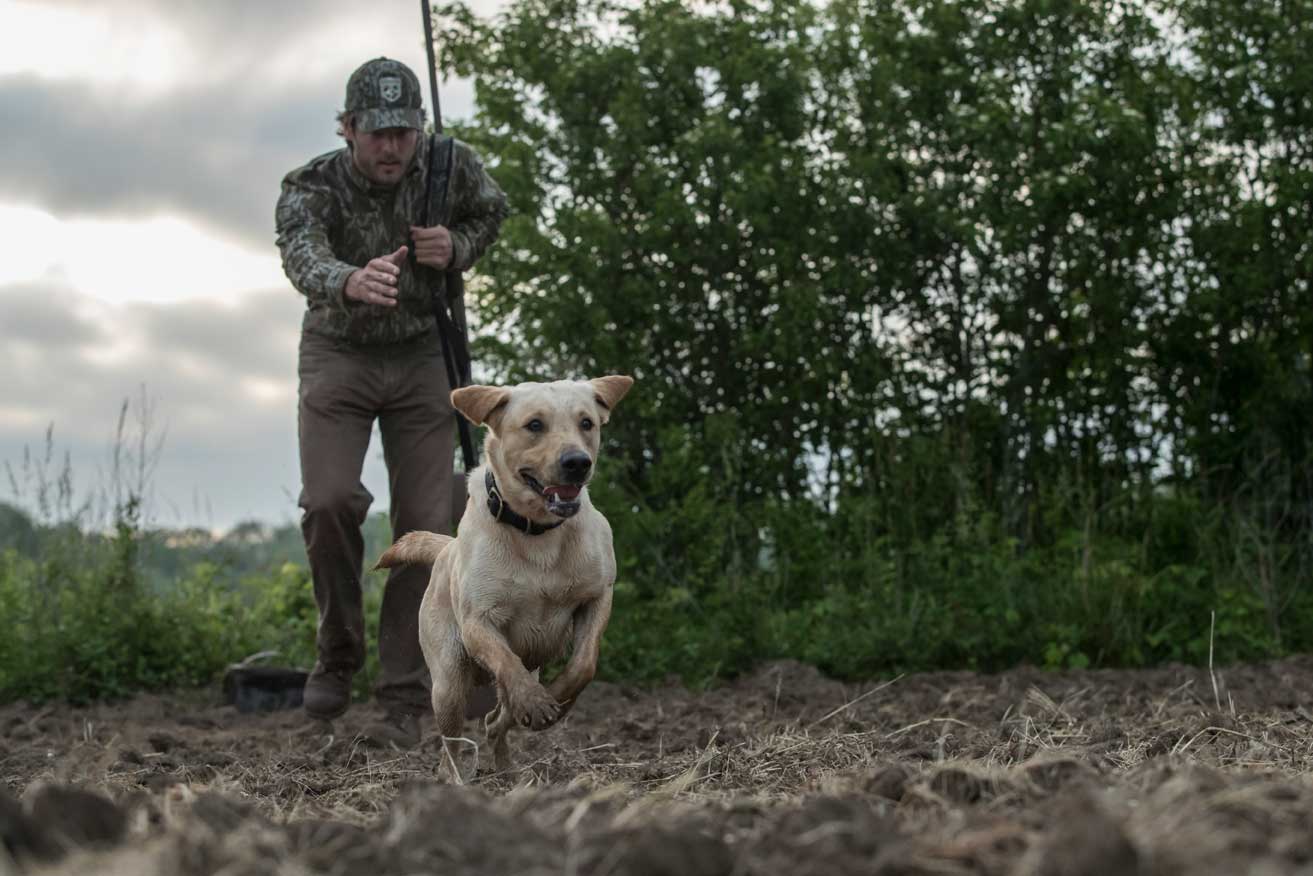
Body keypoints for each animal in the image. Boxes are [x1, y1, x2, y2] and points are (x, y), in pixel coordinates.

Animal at [375, 372, 630, 777]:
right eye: (535, 425)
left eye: (587, 423)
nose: (577, 462)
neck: (537, 532)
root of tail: (446, 549)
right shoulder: (478, 621)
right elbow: (507, 662)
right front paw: (536, 702)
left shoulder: (597, 596)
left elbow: (584, 664)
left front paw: (558, 699)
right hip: (448, 682)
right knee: (452, 741)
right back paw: (453, 777)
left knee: (496, 720)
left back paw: (508, 768)